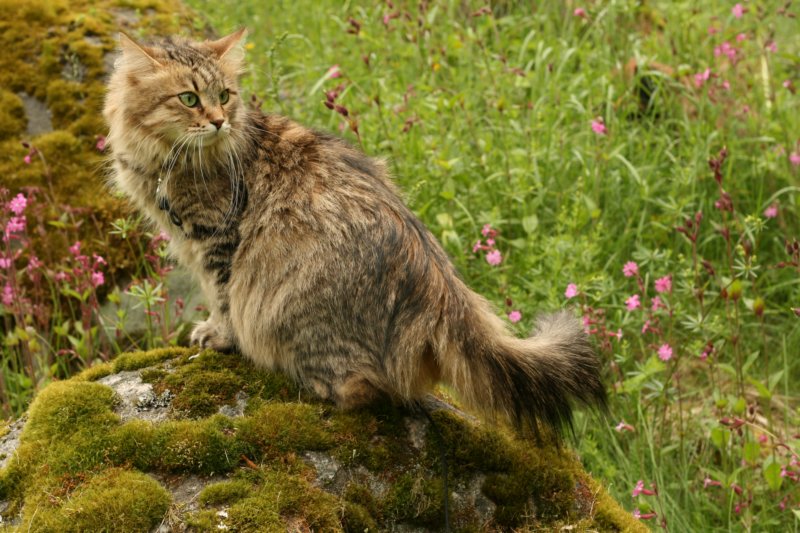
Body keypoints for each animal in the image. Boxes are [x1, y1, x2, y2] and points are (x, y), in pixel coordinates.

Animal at [104, 29, 606, 438]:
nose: (217, 121)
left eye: (224, 95)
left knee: (365, 391)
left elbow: (222, 298)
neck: (166, 162)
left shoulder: (217, 239)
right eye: (189, 99)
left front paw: (218, 335)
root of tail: (442, 288)